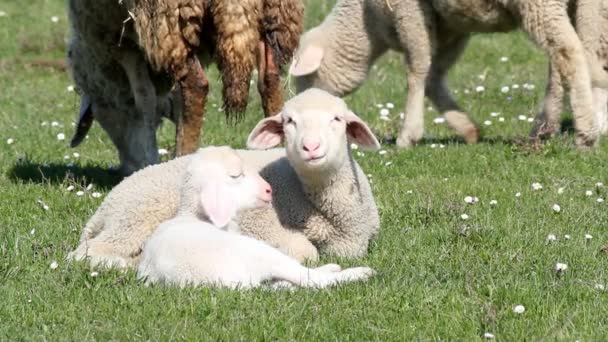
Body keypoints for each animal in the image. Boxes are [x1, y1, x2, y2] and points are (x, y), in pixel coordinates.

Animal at [66, 89, 380, 270]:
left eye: (337, 119)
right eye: (289, 121)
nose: (311, 147)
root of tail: (105, 206)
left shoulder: (352, 244)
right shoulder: (263, 225)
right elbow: (306, 251)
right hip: (135, 217)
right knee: (86, 253)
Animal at [67, 0, 304, 175]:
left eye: (104, 117)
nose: (126, 170)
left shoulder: (122, 42)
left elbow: (144, 101)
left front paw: (150, 161)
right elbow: (178, 102)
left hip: (168, 20)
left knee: (196, 85)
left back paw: (182, 158)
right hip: (274, 17)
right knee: (269, 78)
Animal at [138, 145, 376, 288]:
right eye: (236, 176)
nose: (269, 190)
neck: (192, 214)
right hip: (259, 251)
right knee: (309, 279)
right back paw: (357, 272)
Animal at [292, 0, 600, 149]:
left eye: (306, 81)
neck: (368, 22)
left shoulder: (409, 12)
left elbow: (416, 70)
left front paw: (408, 135)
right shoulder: (451, 26)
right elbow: (433, 76)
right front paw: (467, 129)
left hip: (540, 4)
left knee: (570, 51)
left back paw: (586, 133)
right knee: (561, 58)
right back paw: (545, 126)